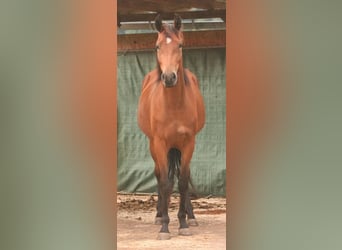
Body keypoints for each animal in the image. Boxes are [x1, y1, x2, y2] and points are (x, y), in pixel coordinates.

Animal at [137, 14, 206, 240]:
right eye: (157, 46)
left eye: (180, 45)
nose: (168, 77)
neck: (174, 106)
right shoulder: (160, 143)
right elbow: (166, 183)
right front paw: (165, 227)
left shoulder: (188, 143)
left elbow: (183, 181)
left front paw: (183, 223)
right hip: (153, 145)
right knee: (160, 176)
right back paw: (159, 214)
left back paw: (191, 216)